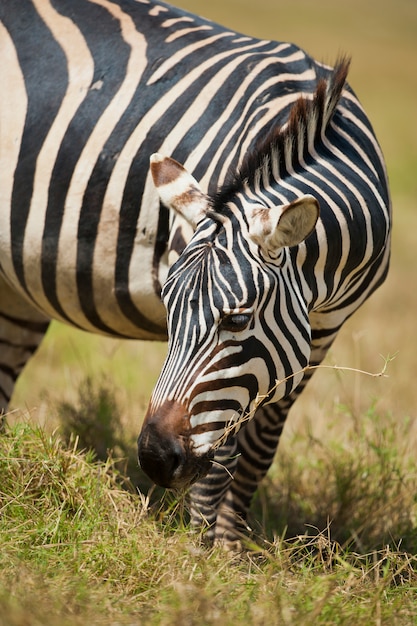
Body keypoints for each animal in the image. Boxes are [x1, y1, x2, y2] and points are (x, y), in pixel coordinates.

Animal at [0, 0, 390, 540]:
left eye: (238, 319)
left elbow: (255, 453)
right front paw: (199, 554)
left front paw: (228, 546)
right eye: (167, 307)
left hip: (14, 294)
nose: (154, 459)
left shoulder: (315, 342)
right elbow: (220, 462)